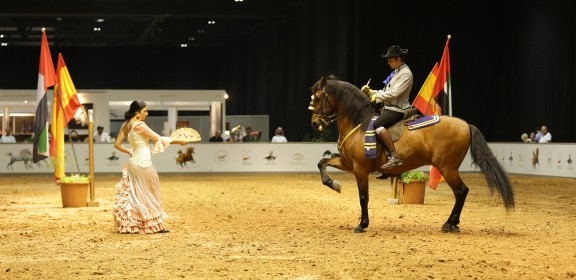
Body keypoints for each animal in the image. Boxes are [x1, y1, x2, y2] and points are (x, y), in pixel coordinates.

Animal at [308, 75, 516, 233]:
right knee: (461, 192)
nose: (315, 123)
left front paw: (362, 225)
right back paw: (452, 223)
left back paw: (450, 223)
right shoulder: (347, 163)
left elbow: (363, 197)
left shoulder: (360, 169)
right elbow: (322, 162)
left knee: (461, 191)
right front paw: (333, 184)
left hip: (447, 168)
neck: (359, 123)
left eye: (317, 98)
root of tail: (465, 124)